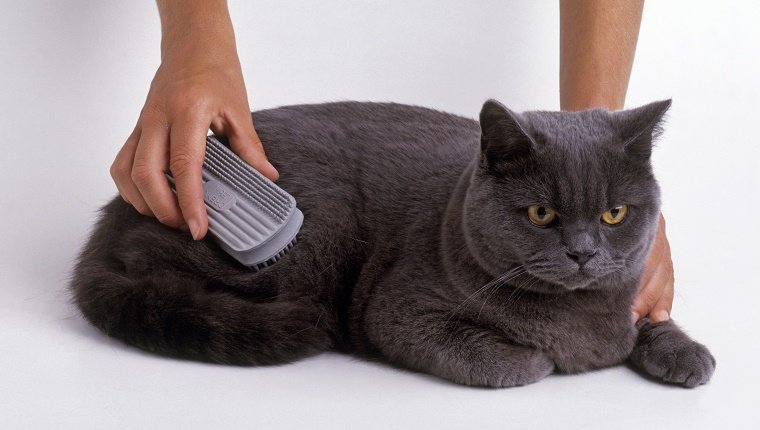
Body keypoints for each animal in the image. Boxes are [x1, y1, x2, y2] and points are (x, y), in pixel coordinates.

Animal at [68, 99, 716, 388]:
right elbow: (499, 356)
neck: (573, 315)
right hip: (300, 236)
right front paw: (533, 360)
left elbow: (647, 322)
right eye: (541, 212)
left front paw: (684, 352)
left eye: (614, 213)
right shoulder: (401, 309)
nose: (582, 251)